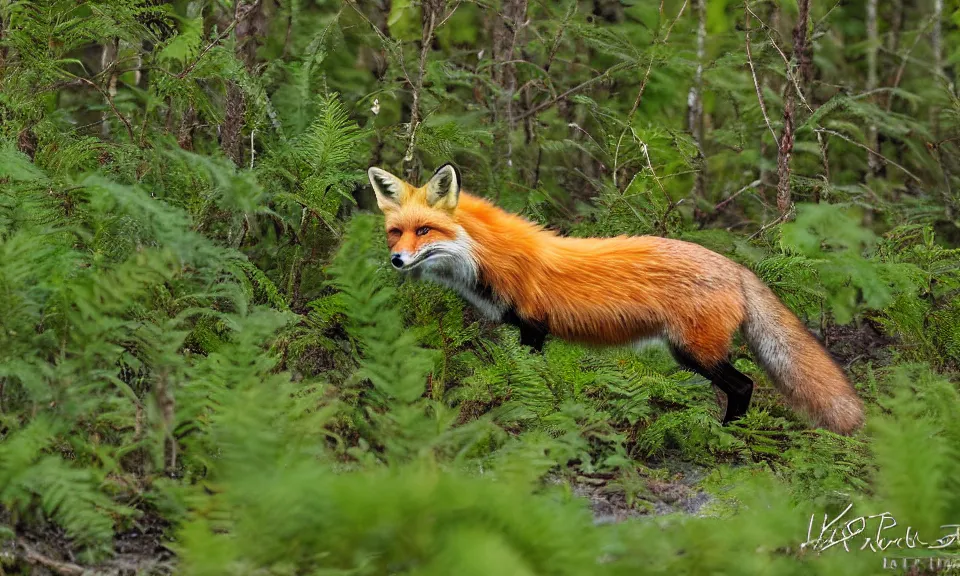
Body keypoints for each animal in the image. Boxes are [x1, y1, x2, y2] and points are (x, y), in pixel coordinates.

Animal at [368, 164, 864, 434]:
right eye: (396, 231)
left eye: (425, 230)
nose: (396, 260)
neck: (489, 256)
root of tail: (736, 267)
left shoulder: (533, 328)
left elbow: (529, 378)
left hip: (694, 352)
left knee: (744, 386)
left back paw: (728, 435)